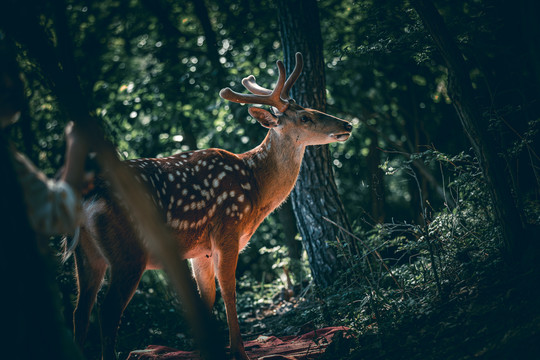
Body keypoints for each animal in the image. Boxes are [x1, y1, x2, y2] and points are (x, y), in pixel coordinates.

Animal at [68, 52, 354, 358]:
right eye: (305, 117)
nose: (347, 125)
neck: (255, 188)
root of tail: (86, 198)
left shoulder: (199, 250)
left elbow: (206, 298)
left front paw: (205, 350)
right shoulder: (227, 229)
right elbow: (228, 290)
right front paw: (239, 350)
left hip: (87, 254)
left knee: (80, 311)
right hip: (129, 252)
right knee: (107, 311)